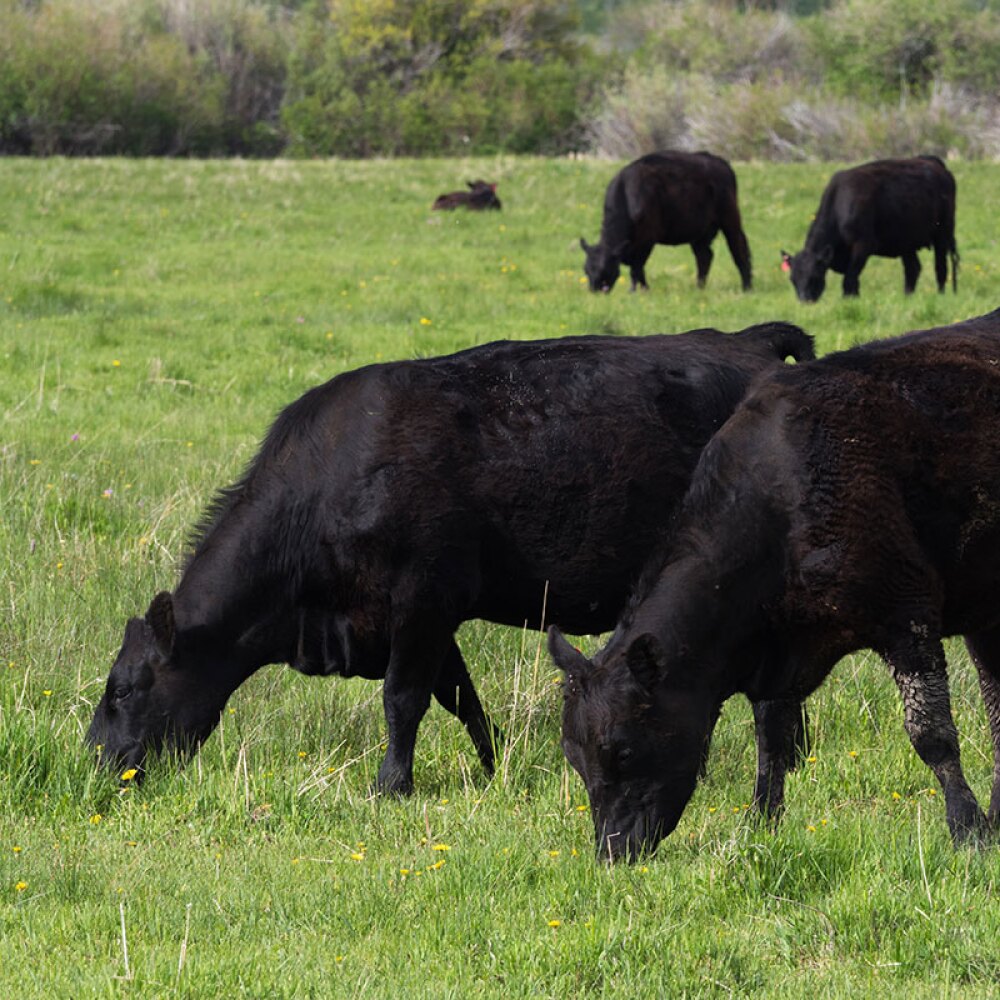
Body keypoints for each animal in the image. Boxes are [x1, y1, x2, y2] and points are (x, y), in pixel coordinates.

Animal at [88, 324, 812, 792]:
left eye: (123, 688)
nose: (95, 763)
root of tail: (749, 341)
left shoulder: (422, 600)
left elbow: (404, 698)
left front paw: (391, 785)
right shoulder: (423, 619)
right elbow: (462, 698)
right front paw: (493, 771)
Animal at [548, 306, 1000, 860]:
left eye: (624, 750)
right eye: (573, 754)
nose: (612, 851)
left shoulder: (907, 612)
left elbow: (931, 733)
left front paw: (968, 828)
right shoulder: (779, 646)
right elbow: (774, 741)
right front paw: (762, 821)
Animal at [580, 150, 752, 294]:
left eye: (605, 269)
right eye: (586, 270)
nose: (595, 290)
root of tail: (720, 162)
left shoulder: (646, 241)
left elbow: (637, 268)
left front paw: (638, 291)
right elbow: (637, 269)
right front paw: (640, 289)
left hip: (730, 219)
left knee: (739, 249)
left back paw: (747, 286)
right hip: (700, 232)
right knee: (704, 256)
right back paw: (699, 287)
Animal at [780, 154, 960, 302]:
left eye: (814, 276)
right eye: (792, 279)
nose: (805, 300)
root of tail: (934, 163)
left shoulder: (863, 245)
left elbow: (849, 279)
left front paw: (848, 301)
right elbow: (854, 280)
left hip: (943, 233)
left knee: (941, 267)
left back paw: (940, 295)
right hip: (906, 242)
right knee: (913, 269)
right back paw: (907, 297)